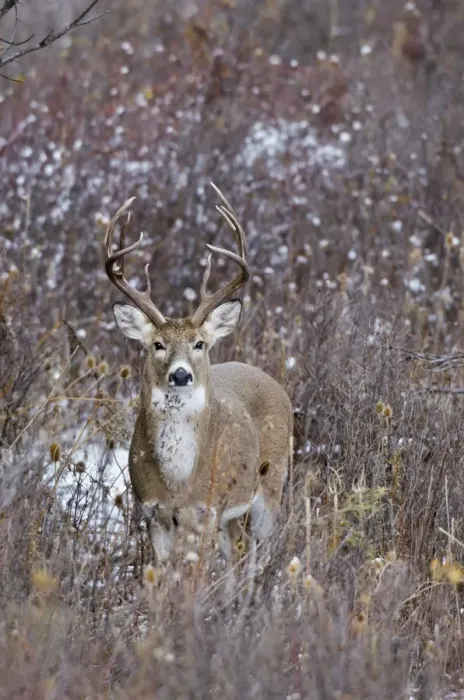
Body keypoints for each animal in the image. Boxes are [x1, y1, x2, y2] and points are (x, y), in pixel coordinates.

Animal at [103, 183, 293, 580]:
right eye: (157, 344)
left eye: (199, 343)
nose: (180, 374)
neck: (179, 482)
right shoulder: (153, 513)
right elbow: (163, 578)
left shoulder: (204, 511)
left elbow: (193, 578)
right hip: (230, 518)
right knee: (236, 562)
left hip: (270, 488)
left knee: (260, 556)